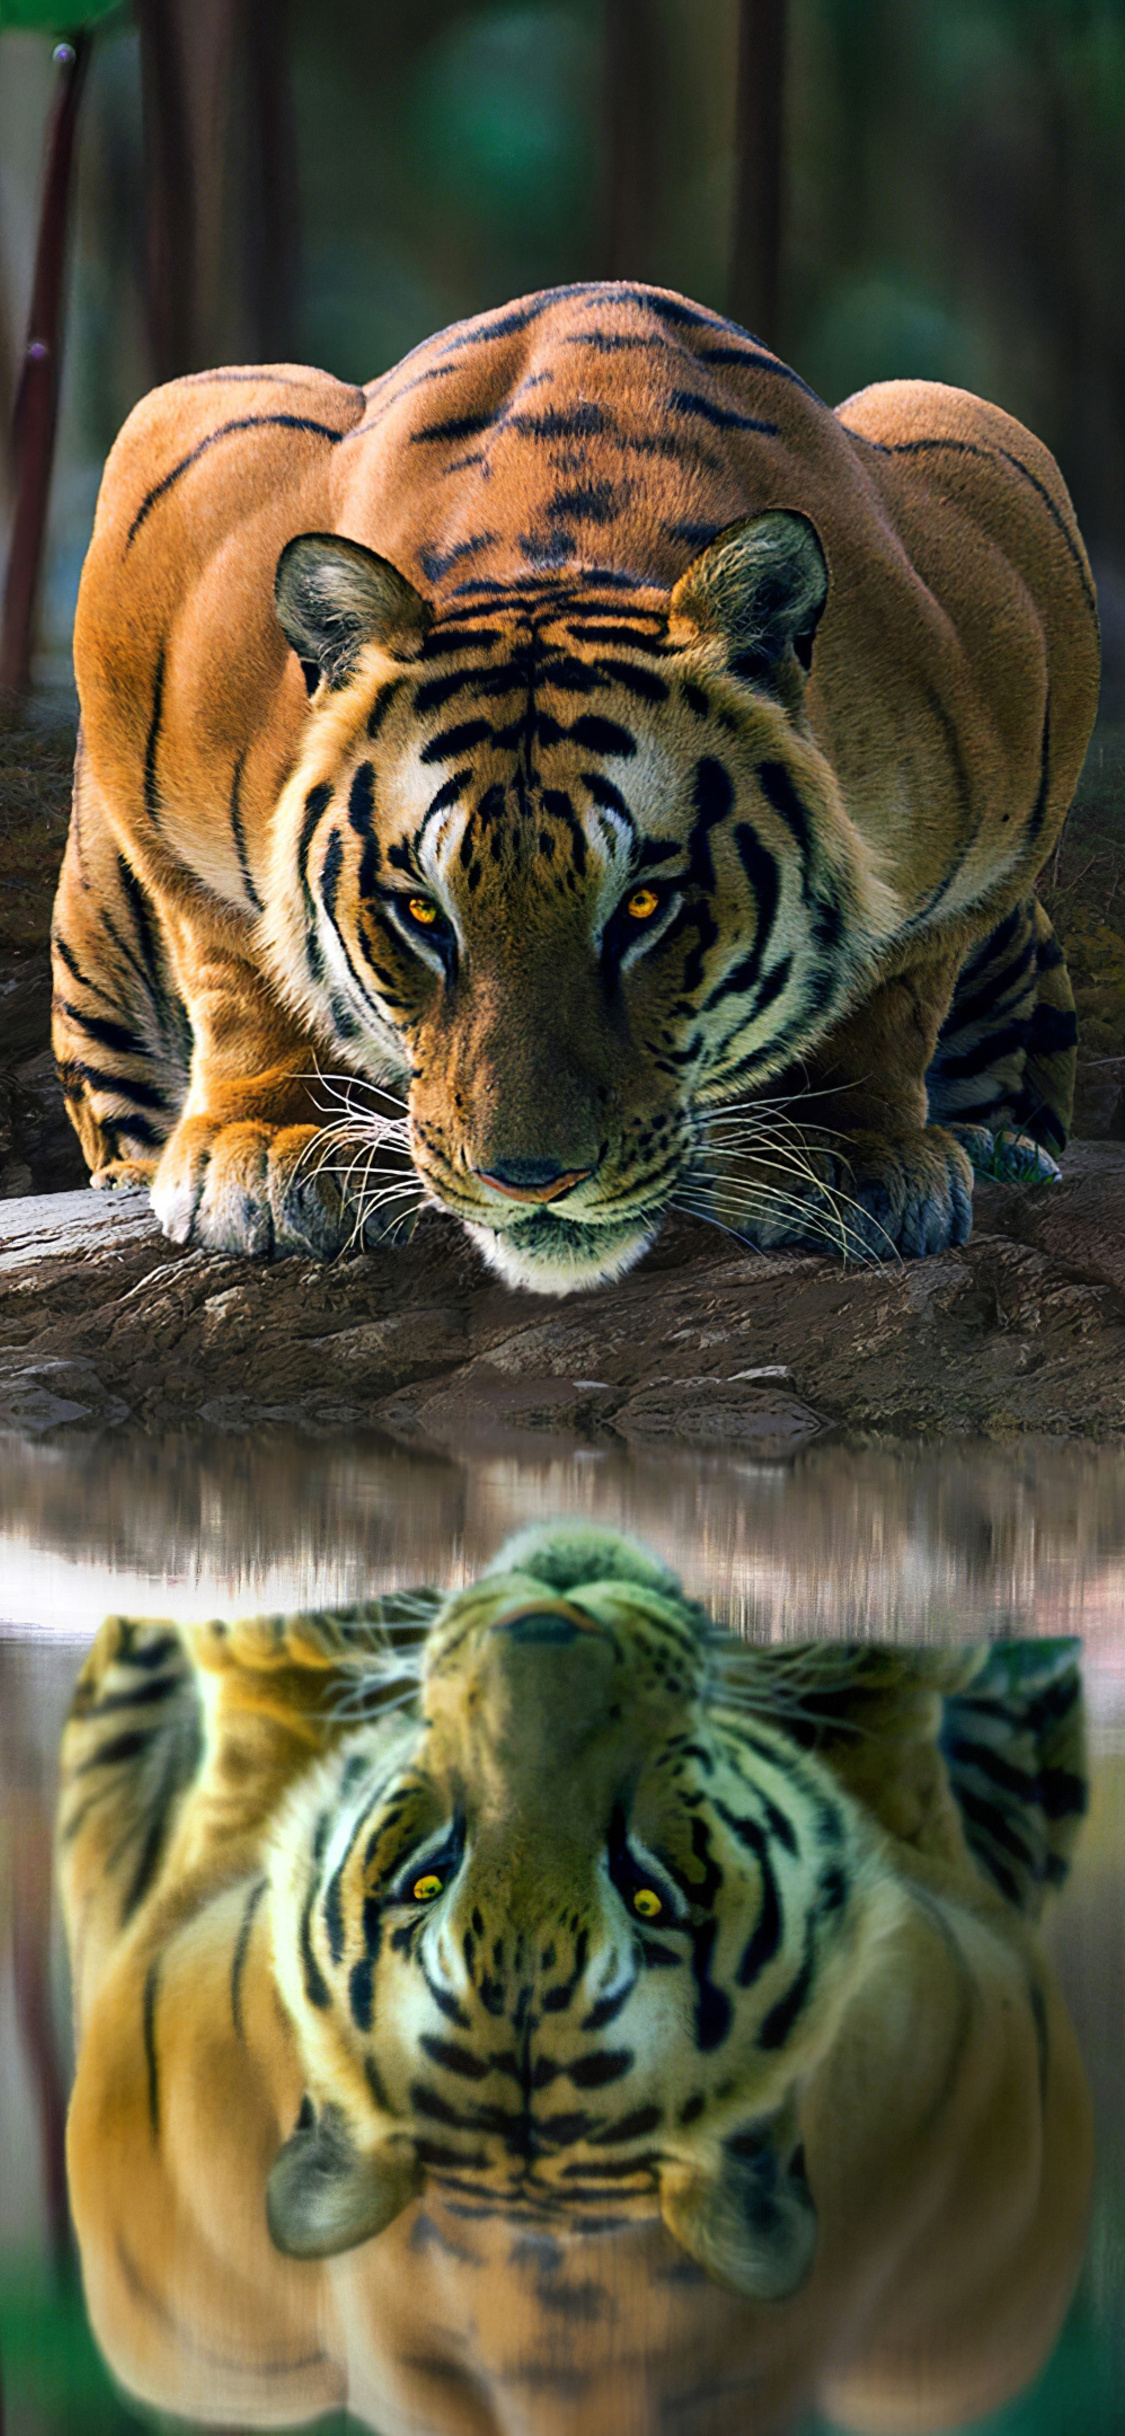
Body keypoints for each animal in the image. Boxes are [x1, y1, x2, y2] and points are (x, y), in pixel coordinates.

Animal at [50, 281, 1099, 1292]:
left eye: (642, 907)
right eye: (421, 914)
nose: (529, 1181)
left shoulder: (1004, 528)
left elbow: (894, 984)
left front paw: (843, 1151)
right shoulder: (178, 476)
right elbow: (238, 957)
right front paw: (275, 1145)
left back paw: (1001, 1148)